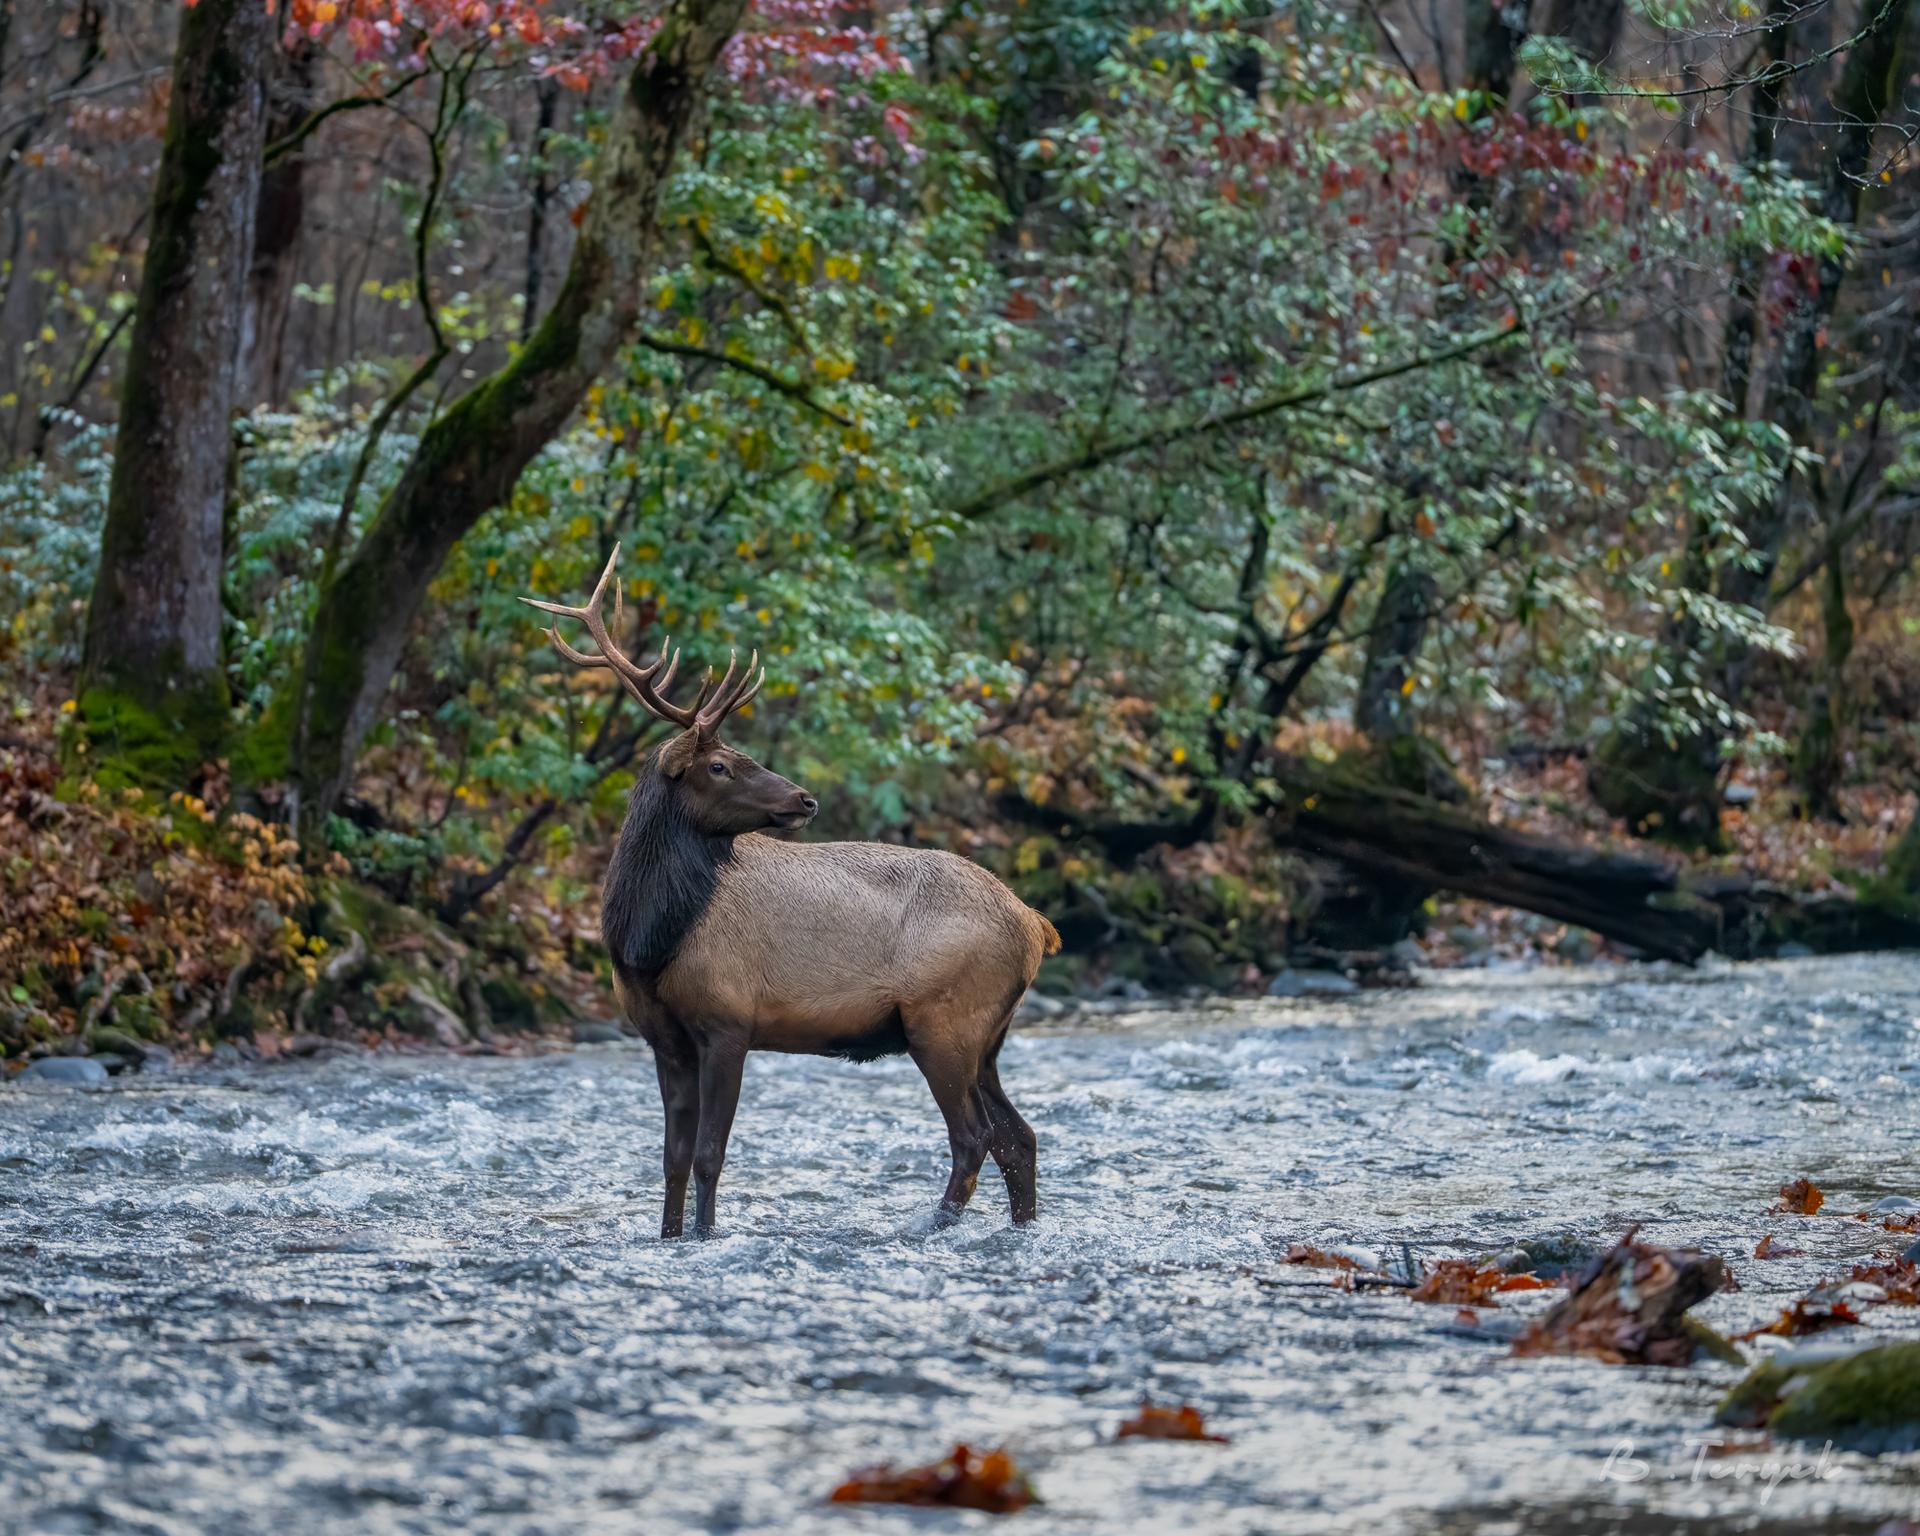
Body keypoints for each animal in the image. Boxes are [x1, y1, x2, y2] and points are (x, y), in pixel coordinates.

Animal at [523, 547, 1059, 1239]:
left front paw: (704, 1234)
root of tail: (1036, 923)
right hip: (987, 1037)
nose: (805, 799)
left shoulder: (729, 1020)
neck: (646, 940)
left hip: (944, 1022)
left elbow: (709, 1154)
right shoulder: (664, 1038)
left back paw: (931, 1228)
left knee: (975, 1137)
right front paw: (668, 1237)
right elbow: (671, 1157)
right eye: (720, 765)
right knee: (1019, 1137)